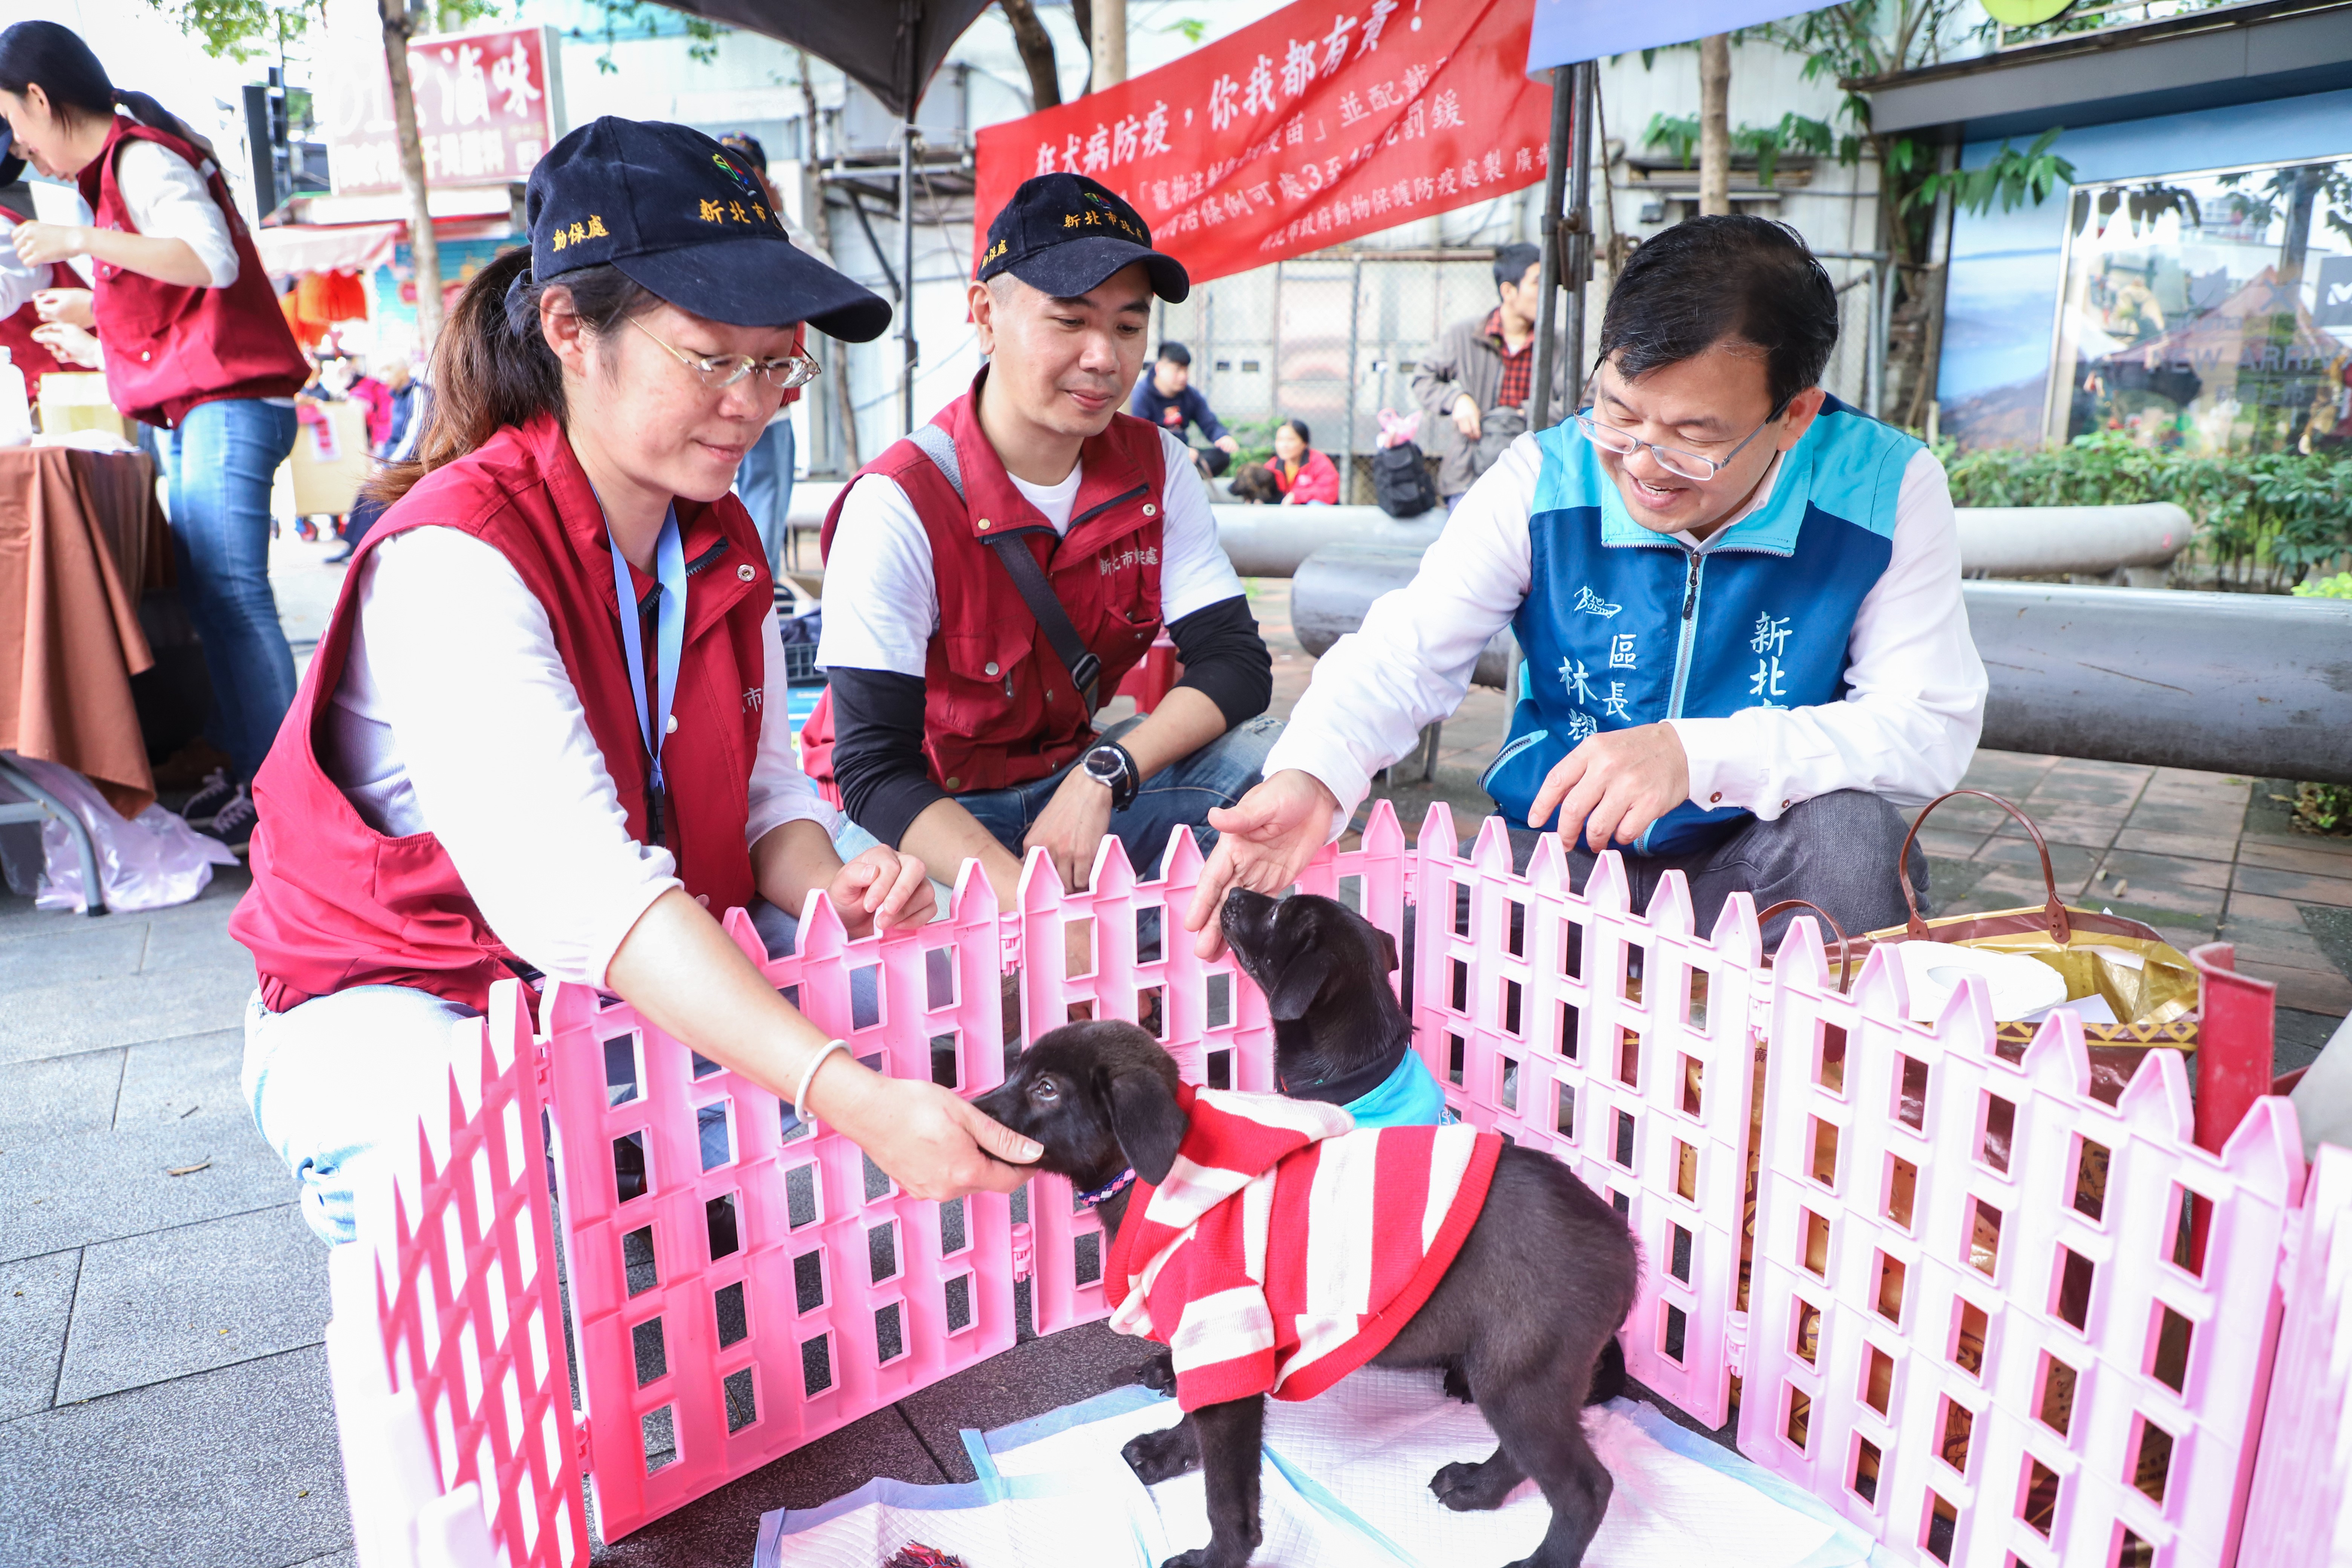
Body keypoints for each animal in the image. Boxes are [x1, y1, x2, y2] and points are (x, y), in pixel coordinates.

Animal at [974, 1025, 1637, 1561]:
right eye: (1017, 1070)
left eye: (1047, 1089)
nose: (970, 1107)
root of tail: (1624, 1246)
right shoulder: (1214, 1349)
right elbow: (1194, 1414)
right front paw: (1168, 1451)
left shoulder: (1228, 1339)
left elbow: (1227, 1496)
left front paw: (1216, 1557)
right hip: (1517, 1376)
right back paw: (1476, 1486)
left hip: (1518, 1374)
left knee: (1587, 1488)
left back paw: (1540, 1559)